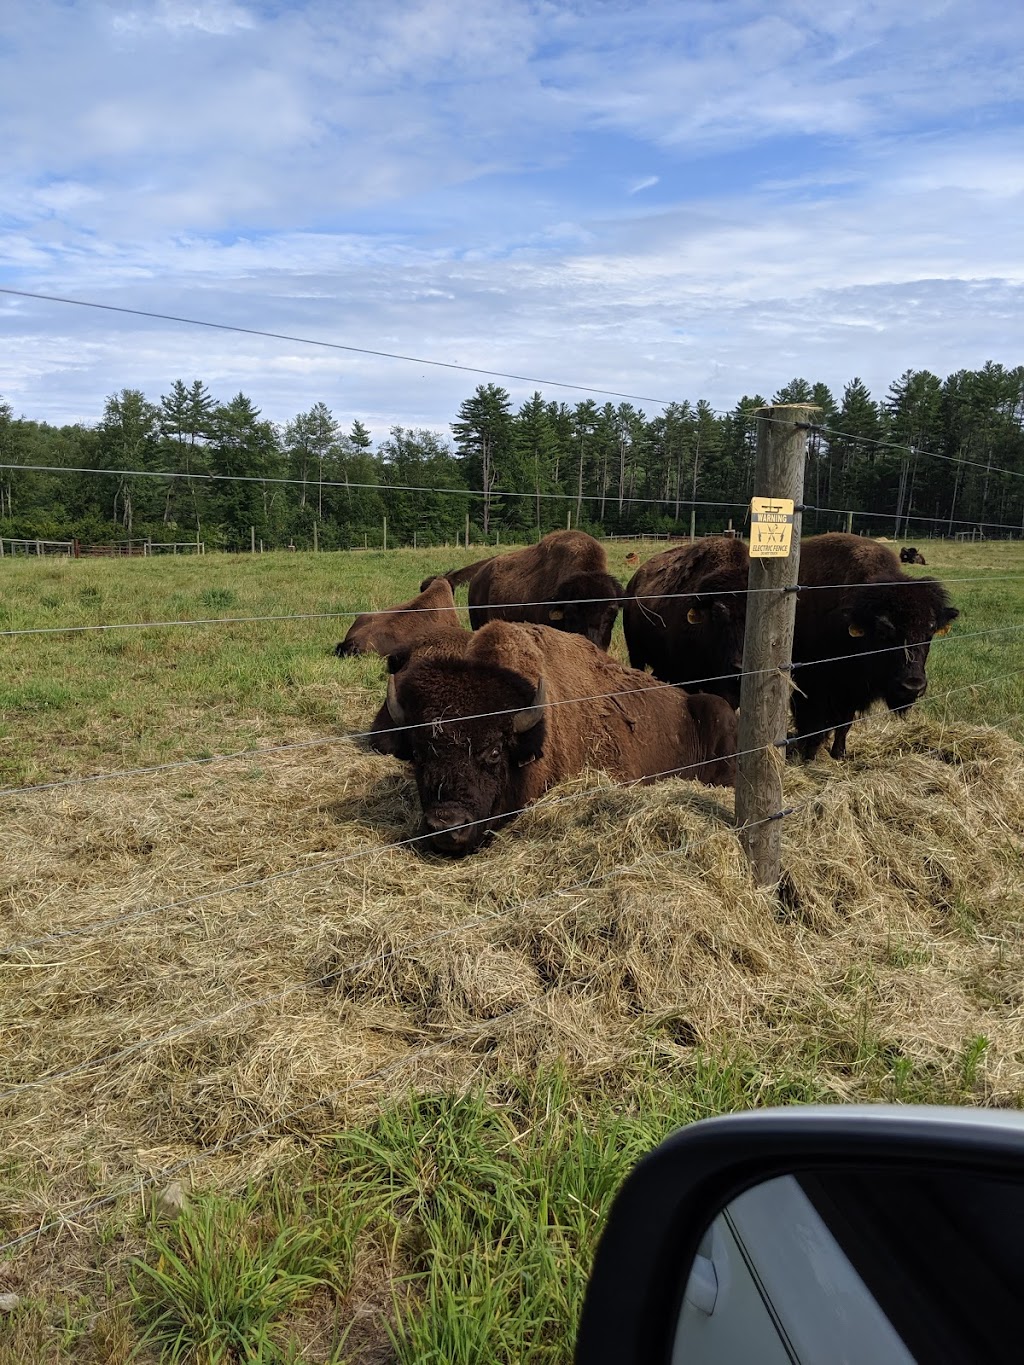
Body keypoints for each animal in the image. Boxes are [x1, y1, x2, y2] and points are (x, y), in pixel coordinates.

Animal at [791, 533, 957, 759]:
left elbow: (844, 723)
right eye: (884, 631)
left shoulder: (851, 689)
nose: (912, 686)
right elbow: (813, 723)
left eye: (930, 631)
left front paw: (839, 753)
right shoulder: (812, 683)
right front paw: (809, 755)